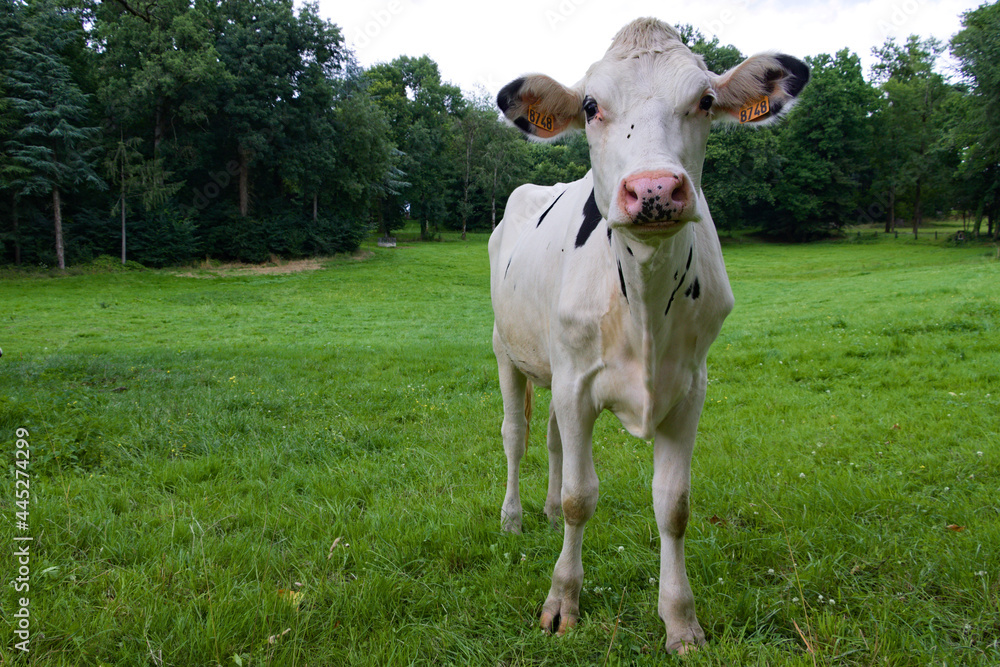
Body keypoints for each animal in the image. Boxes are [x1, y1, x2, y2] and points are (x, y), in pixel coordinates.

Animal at [489, 17, 808, 653]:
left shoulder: (690, 388)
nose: (656, 188)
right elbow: (580, 497)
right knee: (517, 436)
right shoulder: (576, 385)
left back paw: (541, 512)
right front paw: (562, 602)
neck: (642, 300)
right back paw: (513, 517)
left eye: (705, 101)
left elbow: (673, 505)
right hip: (506, 351)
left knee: (553, 442)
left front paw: (681, 621)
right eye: (590, 105)